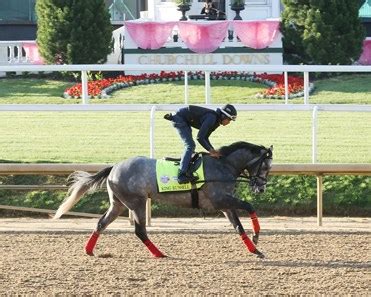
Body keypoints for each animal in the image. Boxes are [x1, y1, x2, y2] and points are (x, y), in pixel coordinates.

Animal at [54, 140, 274, 256]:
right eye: (265, 166)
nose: (261, 188)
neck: (223, 165)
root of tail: (114, 167)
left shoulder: (225, 205)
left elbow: (238, 226)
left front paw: (255, 249)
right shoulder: (219, 200)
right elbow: (249, 206)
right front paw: (257, 235)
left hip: (118, 204)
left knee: (102, 223)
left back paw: (89, 250)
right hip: (137, 202)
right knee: (140, 231)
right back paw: (159, 254)